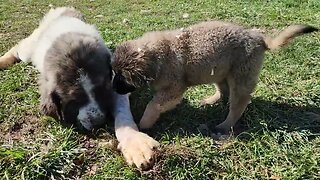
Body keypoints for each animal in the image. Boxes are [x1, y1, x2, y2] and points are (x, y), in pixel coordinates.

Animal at [0, 7, 159, 170]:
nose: (98, 122)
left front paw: (135, 142)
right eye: (74, 101)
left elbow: (123, 113)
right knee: (18, 48)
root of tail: (63, 9)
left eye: (101, 90)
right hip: (29, 50)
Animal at [112, 20, 318, 134]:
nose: (112, 88)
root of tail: (260, 39)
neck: (157, 55)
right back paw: (211, 100)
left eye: (122, 77)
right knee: (223, 92)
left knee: (238, 105)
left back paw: (225, 126)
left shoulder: (174, 88)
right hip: (220, 73)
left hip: (241, 77)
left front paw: (144, 123)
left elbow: (153, 104)